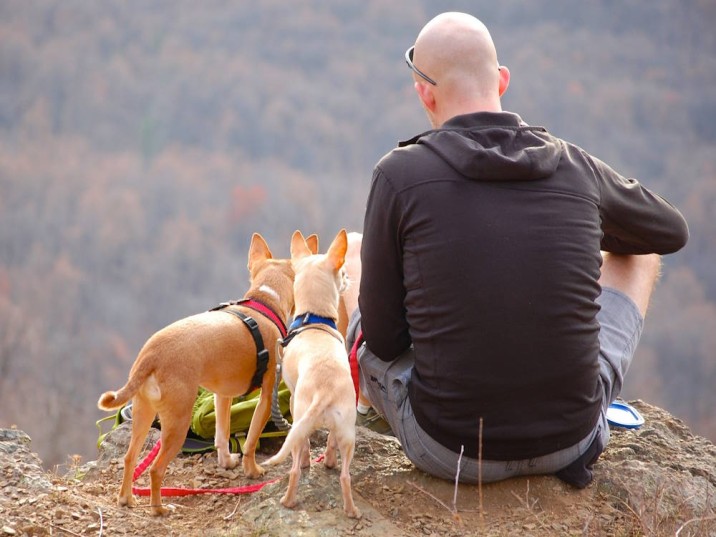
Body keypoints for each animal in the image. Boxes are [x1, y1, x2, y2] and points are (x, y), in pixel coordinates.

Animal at [98, 231, 294, 516]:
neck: (263, 303)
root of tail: (151, 355)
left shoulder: (222, 396)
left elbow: (222, 434)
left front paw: (227, 462)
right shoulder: (268, 396)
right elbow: (250, 441)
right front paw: (252, 470)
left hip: (144, 413)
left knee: (129, 457)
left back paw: (127, 499)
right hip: (177, 423)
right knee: (155, 470)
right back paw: (159, 509)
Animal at [262, 228, 360, 516]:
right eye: (342, 273)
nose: (348, 278)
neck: (314, 319)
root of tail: (324, 392)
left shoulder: (293, 399)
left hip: (300, 418)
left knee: (295, 466)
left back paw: (288, 500)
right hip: (348, 431)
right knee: (344, 474)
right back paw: (351, 509)